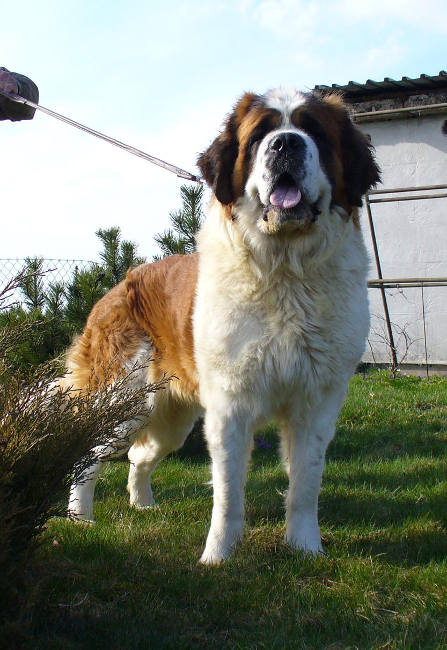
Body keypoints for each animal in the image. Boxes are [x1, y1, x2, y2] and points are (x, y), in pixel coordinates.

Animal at [65, 88, 379, 564]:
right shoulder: (231, 405)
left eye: (315, 131)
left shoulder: (316, 401)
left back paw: (143, 505)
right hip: (124, 399)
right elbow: (229, 490)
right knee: (88, 455)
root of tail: (116, 287)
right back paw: (80, 517)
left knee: (140, 454)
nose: (285, 144)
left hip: (171, 418)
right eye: (260, 135)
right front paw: (217, 556)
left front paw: (305, 548)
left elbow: (306, 483)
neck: (284, 272)